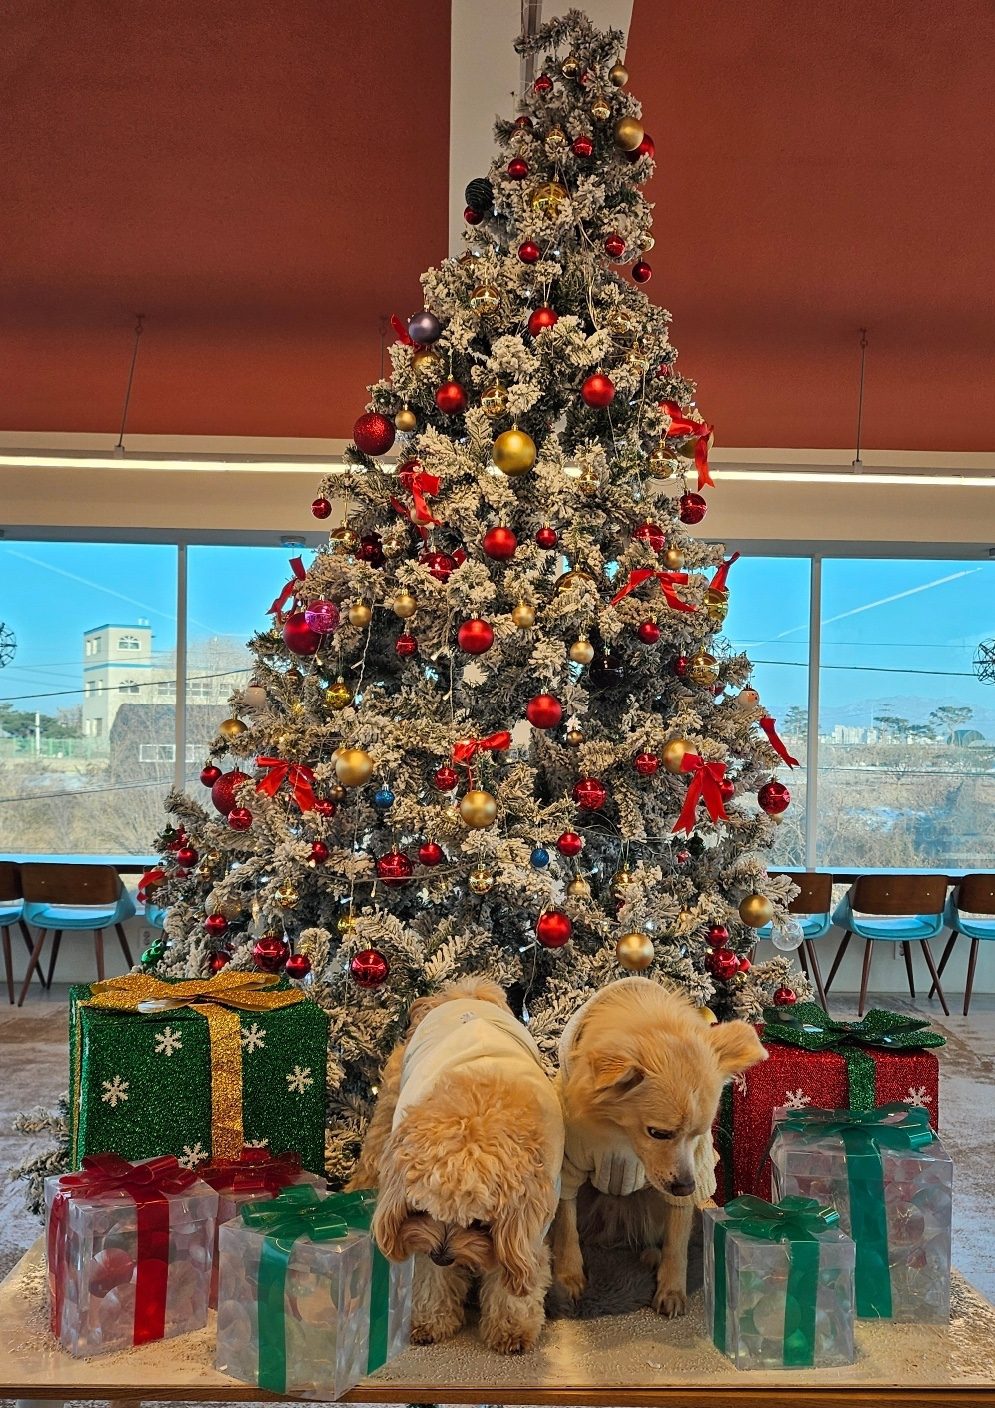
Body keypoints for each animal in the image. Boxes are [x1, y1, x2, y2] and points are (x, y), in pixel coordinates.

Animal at [350, 979, 565, 1351]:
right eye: (423, 1210)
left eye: (479, 1223)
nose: (443, 1256)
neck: (475, 1106)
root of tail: (465, 993)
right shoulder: (420, 1232)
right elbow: (429, 1276)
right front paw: (429, 1320)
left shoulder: (530, 1228)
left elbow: (514, 1277)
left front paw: (511, 1328)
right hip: (385, 1114)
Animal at [548, 979, 765, 1317]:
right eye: (659, 1133)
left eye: (698, 1135)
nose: (687, 1186)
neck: (620, 1135)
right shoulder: (569, 1166)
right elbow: (566, 1224)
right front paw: (568, 1275)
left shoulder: (692, 1170)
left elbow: (677, 1238)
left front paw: (672, 1287)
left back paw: (651, 1255)